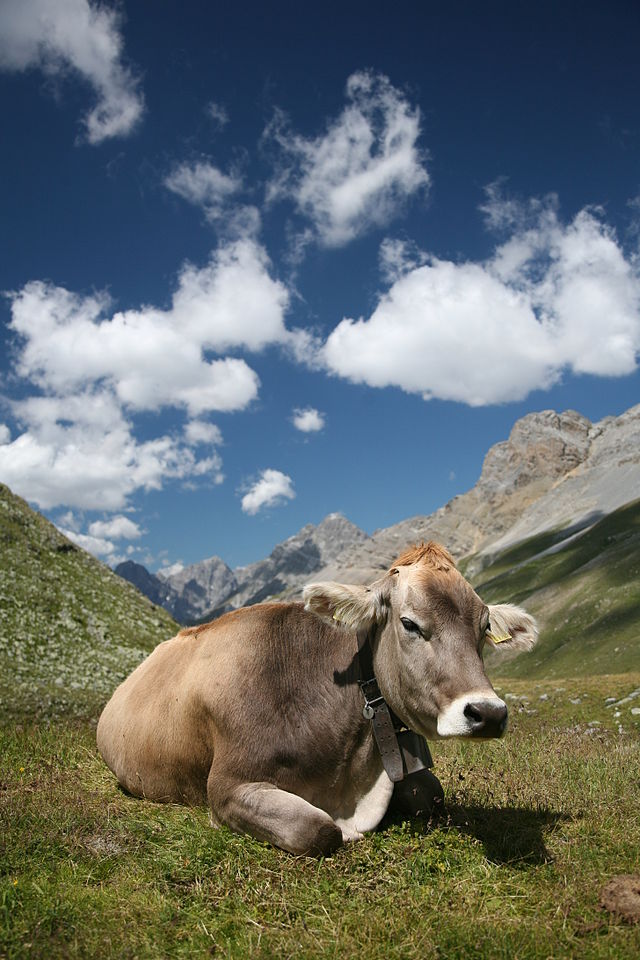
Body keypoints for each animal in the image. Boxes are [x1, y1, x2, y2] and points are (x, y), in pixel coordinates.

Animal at [97, 542, 537, 855]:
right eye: (410, 623)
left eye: (484, 628)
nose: (488, 713)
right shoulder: (227, 786)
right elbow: (318, 829)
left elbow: (432, 795)